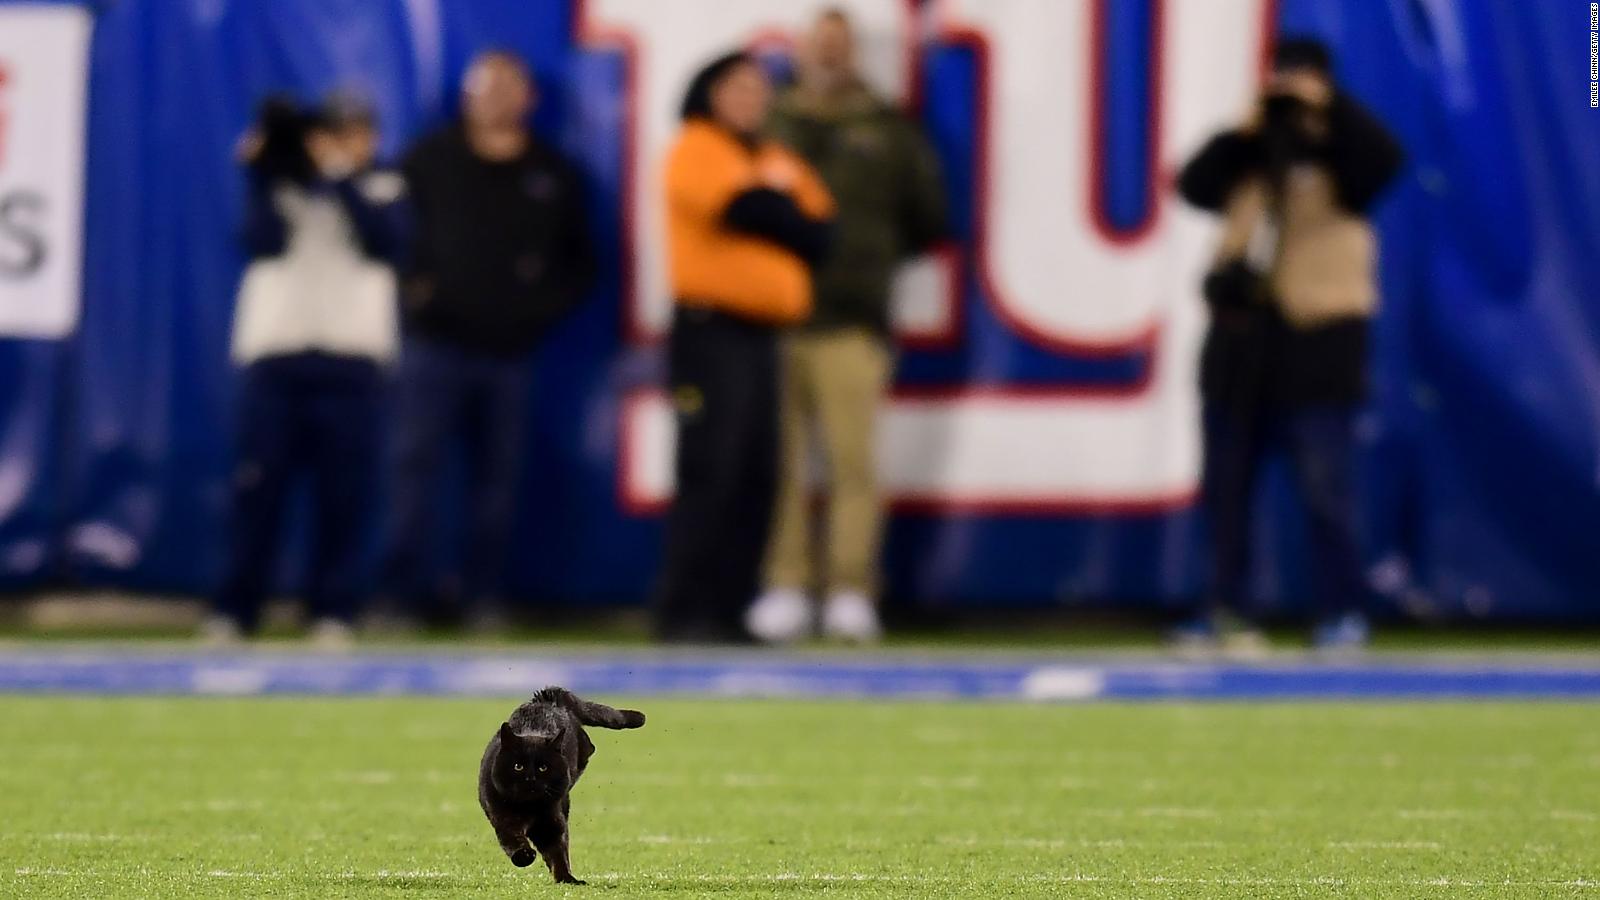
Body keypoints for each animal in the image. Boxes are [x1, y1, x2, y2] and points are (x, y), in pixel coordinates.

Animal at [476, 682, 646, 877]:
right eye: (518, 766)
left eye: (543, 767)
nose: (530, 778)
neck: (530, 808)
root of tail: (548, 696)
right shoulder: (503, 817)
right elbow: (512, 839)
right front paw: (525, 856)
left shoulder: (552, 823)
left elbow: (558, 853)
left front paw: (567, 878)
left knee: (590, 747)